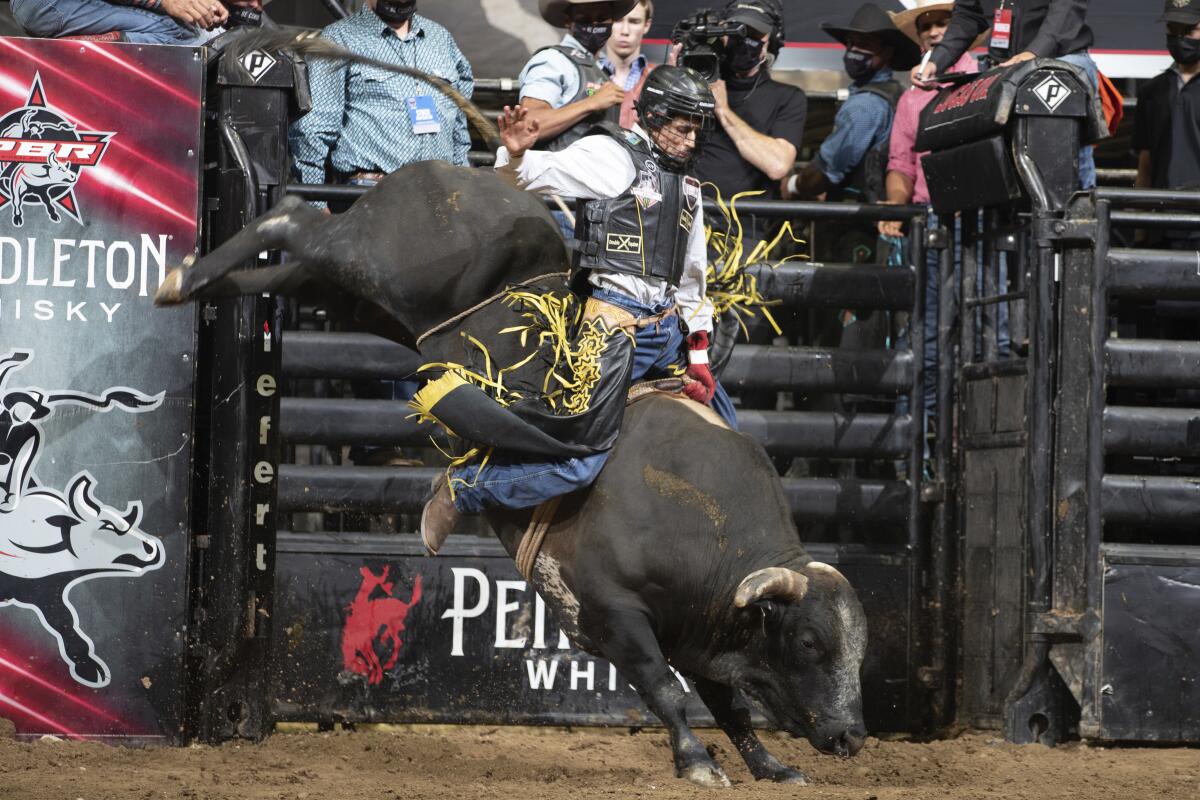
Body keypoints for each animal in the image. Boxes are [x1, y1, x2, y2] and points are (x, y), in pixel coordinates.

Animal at [154, 160, 868, 782]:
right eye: (810, 643)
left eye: (860, 651)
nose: (851, 737)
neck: (707, 530)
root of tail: (462, 172)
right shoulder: (612, 611)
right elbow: (664, 687)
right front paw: (696, 762)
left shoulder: (704, 631)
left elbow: (730, 704)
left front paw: (771, 765)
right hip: (374, 265)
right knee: (300, 222)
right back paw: (187, 275)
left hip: (361, 300)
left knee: (291, 262)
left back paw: (190, 280)